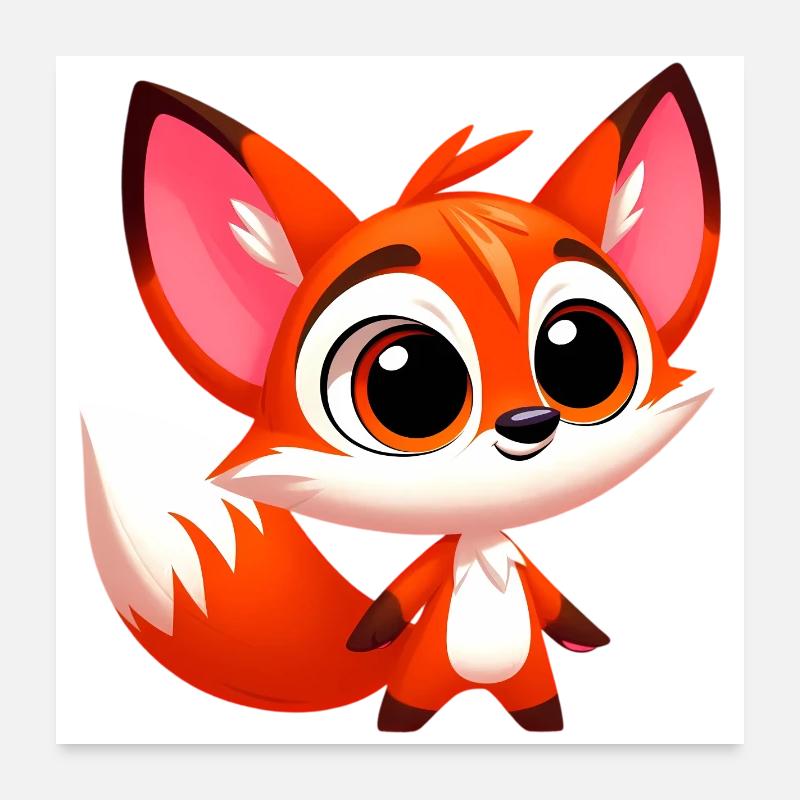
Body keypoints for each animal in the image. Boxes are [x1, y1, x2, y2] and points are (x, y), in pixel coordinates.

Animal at [82, 63, 719, 732]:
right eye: (408, 379)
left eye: (583, 351)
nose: (530, 422)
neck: (481, 542)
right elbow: (393, 604)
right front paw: (367, 638)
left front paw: (588, 637)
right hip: (425, 675)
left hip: (525, 680)